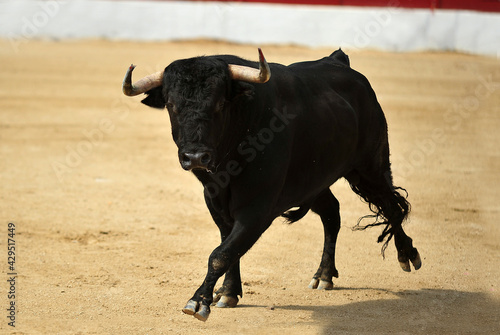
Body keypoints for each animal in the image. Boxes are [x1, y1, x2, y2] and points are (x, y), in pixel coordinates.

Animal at [123, 48, 420, 322]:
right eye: (172, 105)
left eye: (219, 104)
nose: (195, 156)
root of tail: (337, 60)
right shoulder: (216, 202)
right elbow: (228, 246)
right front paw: (228, 293)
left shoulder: (258, 209)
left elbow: (221, 253)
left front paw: (199, 301)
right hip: (314, 182)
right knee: (332, 213)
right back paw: (324, 275)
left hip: (369, 167)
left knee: (391, 206)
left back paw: (407, 255)